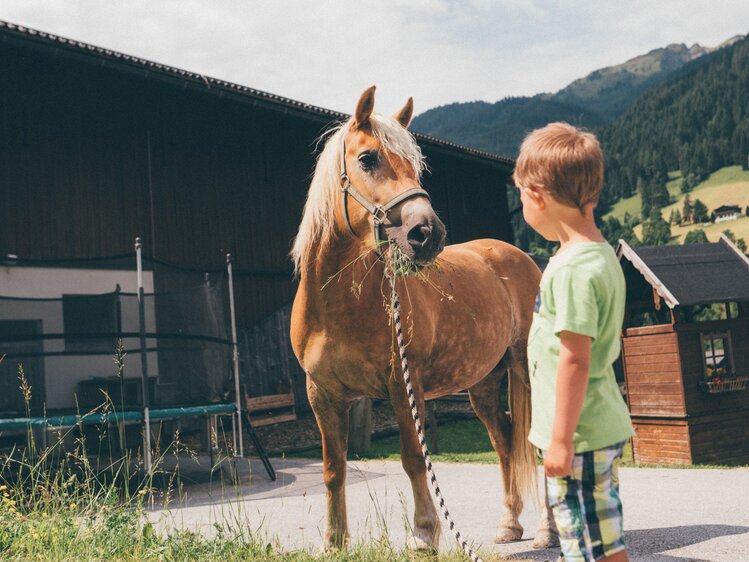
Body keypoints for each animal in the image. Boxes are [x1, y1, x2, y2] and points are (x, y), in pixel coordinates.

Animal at [290, 85, 556, 548]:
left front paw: (424, 533)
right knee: (504, 441)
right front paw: (334, 540)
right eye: (368, 158)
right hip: (483, 382)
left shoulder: (404, 383)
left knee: (533, 441)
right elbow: (333, 469)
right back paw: (509, 525)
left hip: (525, 367)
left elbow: (414, 458)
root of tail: (518, 257)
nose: (427, 233)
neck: (338, 308)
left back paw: (546, 532)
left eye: (415, 165)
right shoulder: (321, 395)